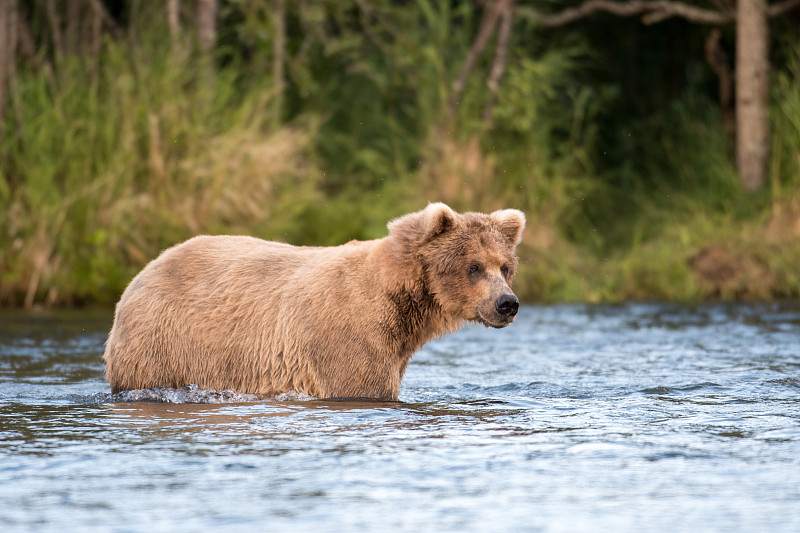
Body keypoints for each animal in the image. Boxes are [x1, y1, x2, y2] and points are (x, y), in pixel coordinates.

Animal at [103, 204, 524, 400]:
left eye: (505, 266)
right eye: (474, 266)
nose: (507, 303)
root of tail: (142, 272)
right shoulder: (348, 339)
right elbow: (361, 384)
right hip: (163, 345)